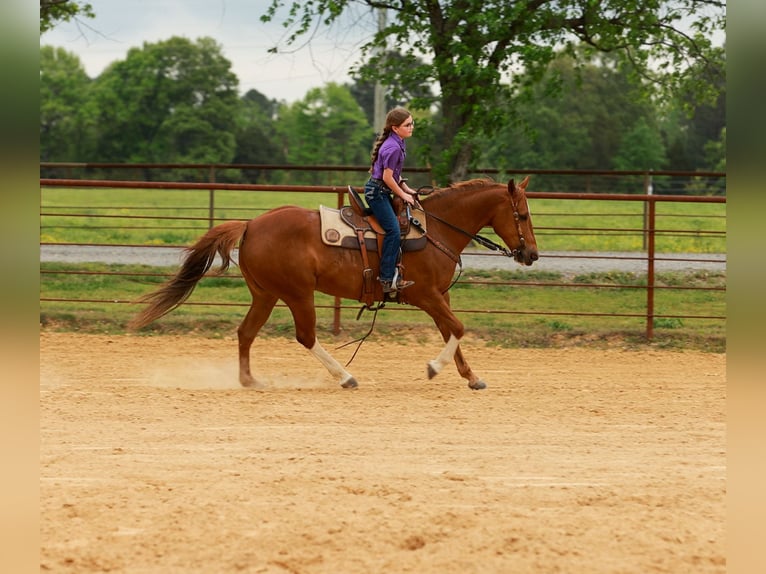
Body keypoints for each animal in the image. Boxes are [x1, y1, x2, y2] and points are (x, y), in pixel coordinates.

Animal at [129, 177, 539, 390]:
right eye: (521, 214)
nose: (531, 254)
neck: (433, 228)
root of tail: (250, 225)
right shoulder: (424, 294)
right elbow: (458, 327)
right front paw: (434, 368)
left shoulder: (440, 296)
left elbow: (451, 331)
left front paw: (471, 376)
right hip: (297, 294)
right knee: (305, 336)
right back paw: (345, 376)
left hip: (266, 294)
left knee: (246, 332)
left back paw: (249, 381)